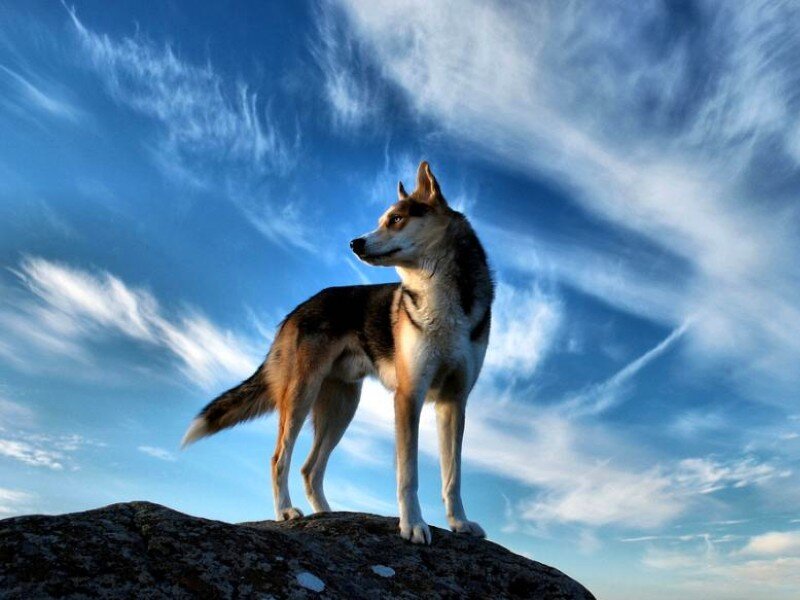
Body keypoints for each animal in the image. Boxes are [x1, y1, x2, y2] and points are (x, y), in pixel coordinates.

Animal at [182, 161, 494, 544]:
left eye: (396, 219)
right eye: (382, 219)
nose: (354, 242)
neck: (440, 296)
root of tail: (299, 308)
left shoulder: (454, 401)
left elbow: (453, 476)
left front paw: (459, 523)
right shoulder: (409, 397)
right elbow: (408, 475)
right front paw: (413, 525)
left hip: (341, 407)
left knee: (309, 468)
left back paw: (327, 515)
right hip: (301, 396)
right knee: (279, 459)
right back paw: (286, 512)